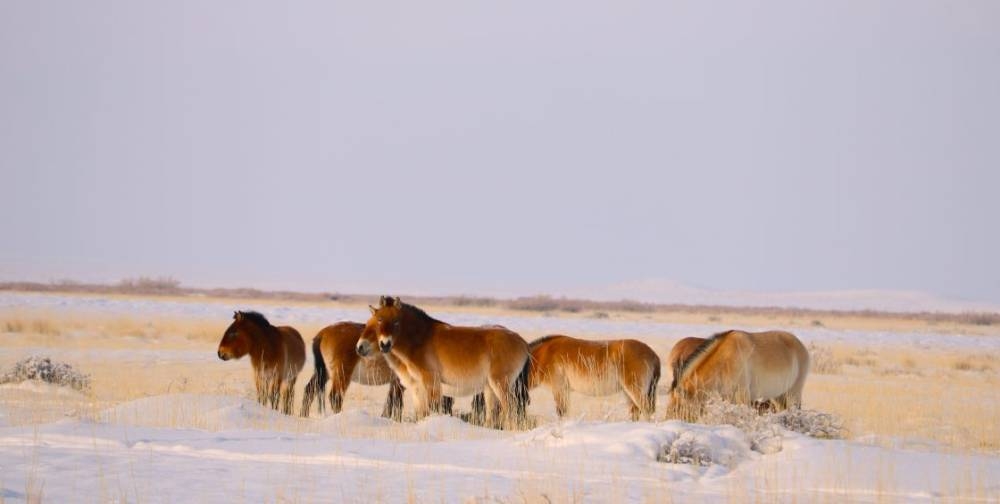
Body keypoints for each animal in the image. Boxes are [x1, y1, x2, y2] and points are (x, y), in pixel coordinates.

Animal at [298, 322, 458, 422]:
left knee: (309, 390)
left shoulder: (396, 383)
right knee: (335, 397)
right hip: (341, 374)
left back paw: (302, 416)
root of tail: (322, 333)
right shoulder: (399, 383)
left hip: (323, 373)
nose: (448, 417)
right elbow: (396, 402)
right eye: (447, 402)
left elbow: (391, 402)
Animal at [358, 296, 532, 430]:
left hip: (501, 385)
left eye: (396, 322)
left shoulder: (431, 383)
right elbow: (421, 413)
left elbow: (432, 409)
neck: (421, 340)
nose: (385, 344)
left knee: (511, 409)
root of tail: (523, 343)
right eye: (378, 320)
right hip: (490, 389)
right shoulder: (417, 388)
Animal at [528, 334, 660, 422]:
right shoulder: (564, 390)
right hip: (628, 393)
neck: (543, 355)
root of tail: (653, 354)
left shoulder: (559, 388)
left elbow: (561, 412)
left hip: (635, 391)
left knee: (647, 411)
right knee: (635, 412)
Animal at [668, 326, 808, 422]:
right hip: (778, 397)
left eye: (677, 408)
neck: (724, 362)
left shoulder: (743, 397)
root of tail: (800, 345)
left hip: (793, 394)